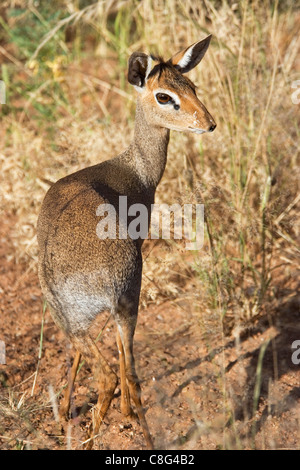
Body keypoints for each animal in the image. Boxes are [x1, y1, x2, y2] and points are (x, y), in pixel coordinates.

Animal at [37, 35, 216, 450]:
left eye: (192, 86)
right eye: (165, 95)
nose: (209, 123)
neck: (135, 172)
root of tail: (105, 274)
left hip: (85, 315)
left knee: (109, 374)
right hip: (117, 307)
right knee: (125, 372)